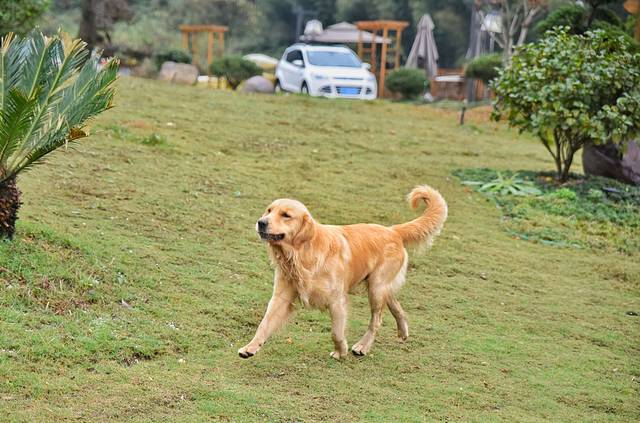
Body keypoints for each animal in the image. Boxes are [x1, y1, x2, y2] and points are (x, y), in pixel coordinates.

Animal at [238, 185, 447, 359]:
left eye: (286, 215)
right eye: (269, 210)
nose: (261, 222)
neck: (304, 253)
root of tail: (393, 231)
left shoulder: (337, 300)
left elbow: (336, 332)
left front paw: (341, 352)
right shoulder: (281, 296)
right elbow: (264, 323)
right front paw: (250, 348)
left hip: (376, 287)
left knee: (377, 319)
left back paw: (362, 346)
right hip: (379, 286)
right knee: (395, 304)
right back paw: (403, 331)